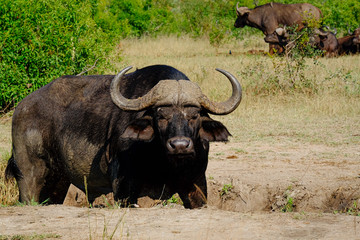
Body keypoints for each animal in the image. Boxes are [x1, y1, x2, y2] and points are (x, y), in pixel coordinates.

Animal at [4, 64, 242, 208]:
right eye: (160, 115)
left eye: (194, 116)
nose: (180, 145)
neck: (166, 163)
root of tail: (22, 107)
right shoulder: (125, 187)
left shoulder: (197, 183)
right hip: (28, 175)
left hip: (58, 180)